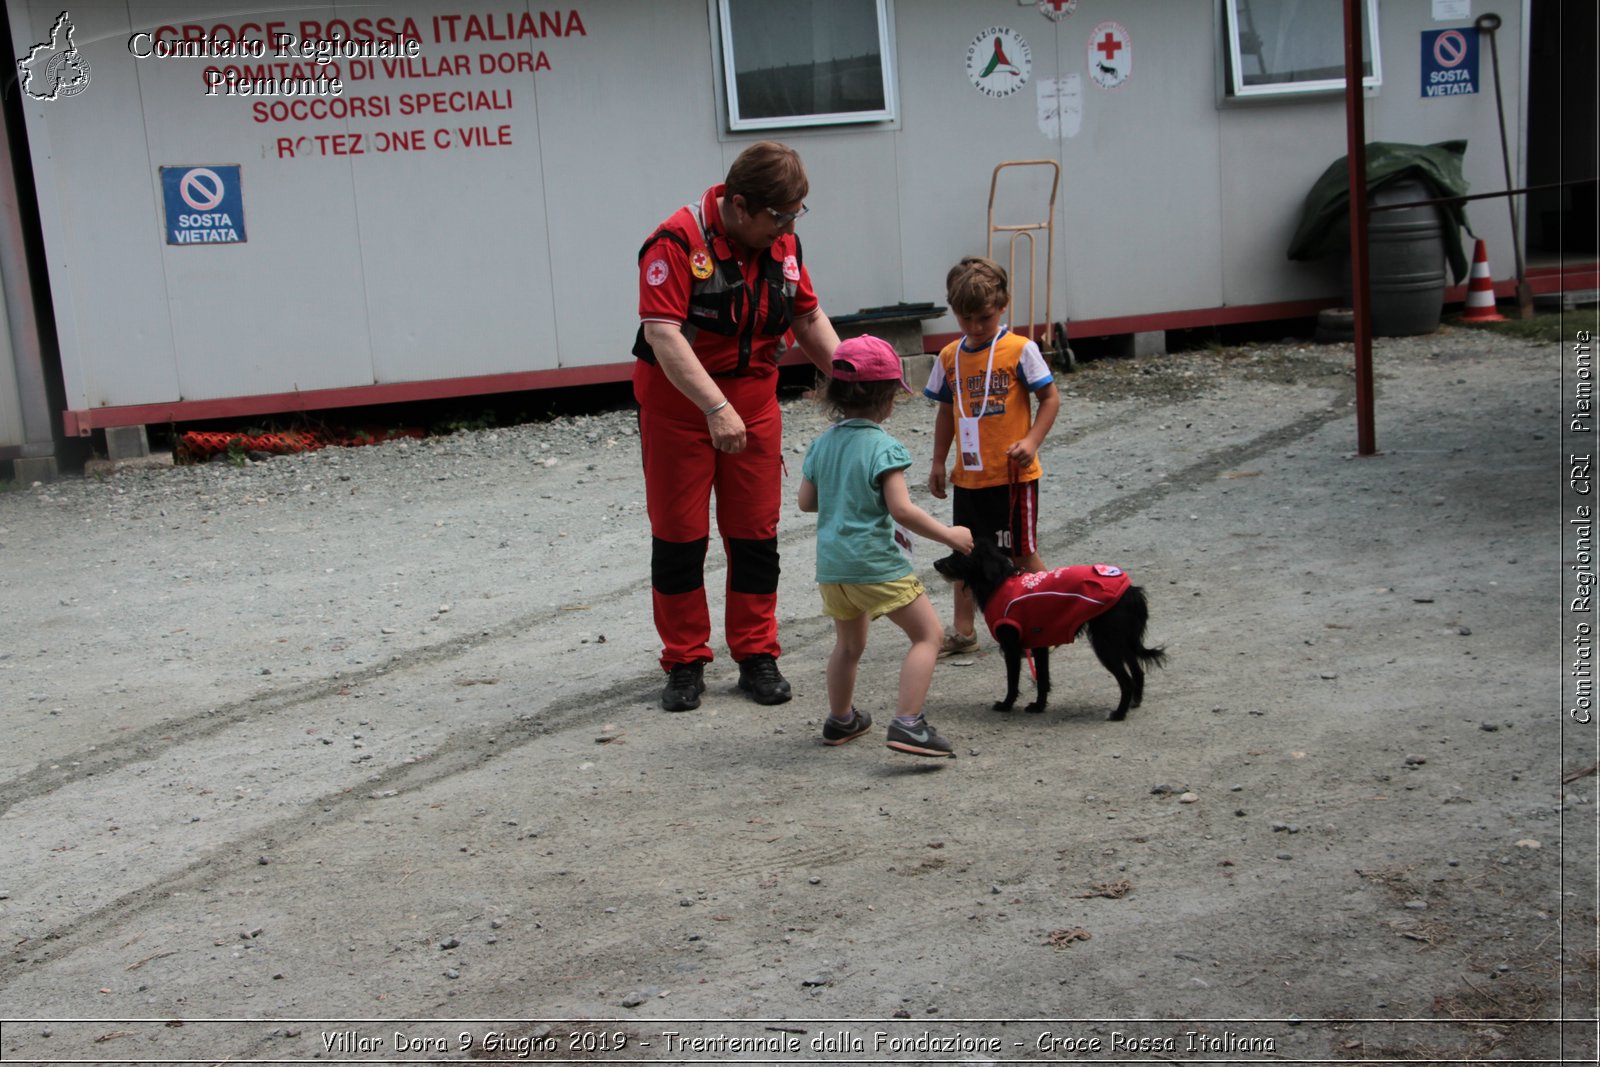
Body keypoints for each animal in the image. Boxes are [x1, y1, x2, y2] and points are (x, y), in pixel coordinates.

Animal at [934, 537, 1164, 723]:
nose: (935, 563)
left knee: (1126, 681)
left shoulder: (1011, 648)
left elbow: (1013, 681)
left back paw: (1118, 714)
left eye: (959, 554)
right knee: (1138, 672)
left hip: (1106, 645)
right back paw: (1134, 703)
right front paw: (1039, 706)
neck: (999, 584)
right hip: (1122, 642)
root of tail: (1131, 591)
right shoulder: (1039, 644)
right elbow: (1043, 679)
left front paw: (1006, 705)